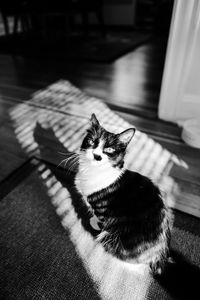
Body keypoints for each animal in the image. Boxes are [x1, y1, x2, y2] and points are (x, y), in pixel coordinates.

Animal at [75, 113, 172, 276]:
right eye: (91, 141)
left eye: (109, 149)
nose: (96, 156)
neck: (92, 171)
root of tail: (159, 253)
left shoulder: (102, 210)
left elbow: (99, 218)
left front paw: (94, 222)